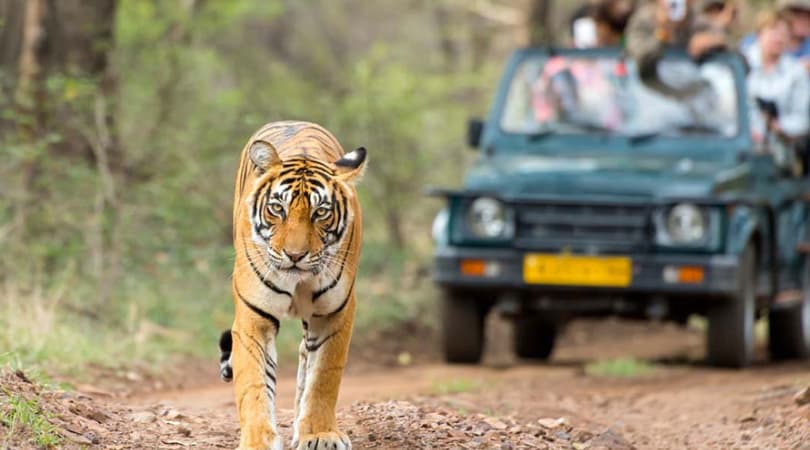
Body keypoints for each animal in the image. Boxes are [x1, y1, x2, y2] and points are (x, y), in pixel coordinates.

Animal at [221, 121, 366, 450]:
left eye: (320, 212)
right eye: (278, 208)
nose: (295, 255)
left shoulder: (334, 314)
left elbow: (323, 377)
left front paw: (320, 434)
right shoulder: (253, 318)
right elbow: (254, 384)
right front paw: (257, 442)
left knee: (305, 357)